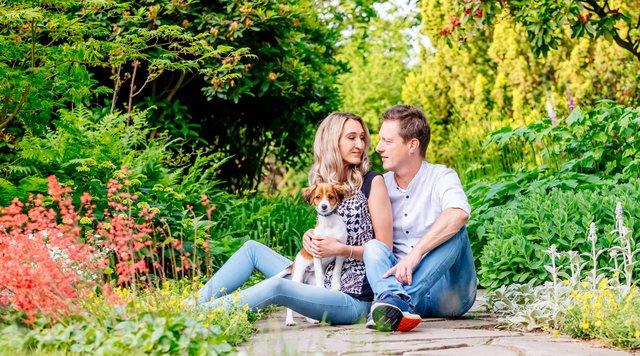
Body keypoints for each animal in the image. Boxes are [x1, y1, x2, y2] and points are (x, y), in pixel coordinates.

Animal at [274, 184, 348, 326]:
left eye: (331, 197)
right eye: (317, 197)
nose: (324, 206)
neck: (329, 224)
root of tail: (294, 264)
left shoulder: (340, 250)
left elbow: (336, 270)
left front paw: (335, 285)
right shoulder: (316, 252)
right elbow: (320, 273)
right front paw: (321, 288)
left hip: (310, 282)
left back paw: (311, 319)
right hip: (298, 277)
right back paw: (290, 320)